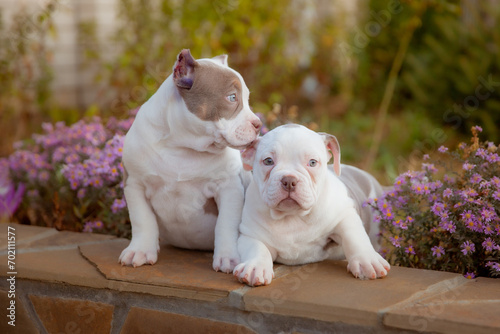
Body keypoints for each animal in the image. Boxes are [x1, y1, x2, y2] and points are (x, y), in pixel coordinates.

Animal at [119, 50, 264, 274]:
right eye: (232, 98)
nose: (258, 124)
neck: (183, 148)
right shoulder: (134, 184)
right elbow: (142, 219)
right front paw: (140, 251)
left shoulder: (229, 188)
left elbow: (226, 225)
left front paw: (227, 258)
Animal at [234, 124, 390, 286]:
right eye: (268, 161)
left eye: (313, 162)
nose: (289, 180)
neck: (292, 216)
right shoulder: (249, 234)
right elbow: (257, 248)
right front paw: (255, 267)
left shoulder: (345, 215)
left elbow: (354, 237)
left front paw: (367, 261)